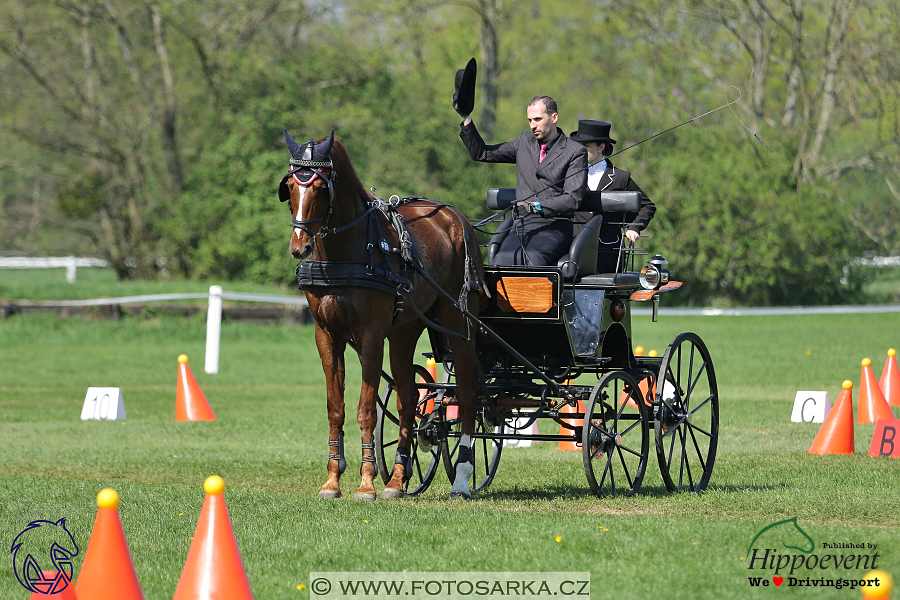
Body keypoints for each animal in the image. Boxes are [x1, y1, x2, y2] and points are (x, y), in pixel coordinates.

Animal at [280, 129, 486, 500]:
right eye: (290, 184)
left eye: (320, 187)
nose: (299, 246)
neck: (346, 251)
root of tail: (455, 217)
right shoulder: (326, 334)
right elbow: (336, 407)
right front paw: (332, 480)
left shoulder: (371, 334)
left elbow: (366, 410)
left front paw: (365, 483)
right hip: (406, 329)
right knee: (409, 397)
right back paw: (398, 479)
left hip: (458, 323)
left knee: (466, 392)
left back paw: (462, 477)